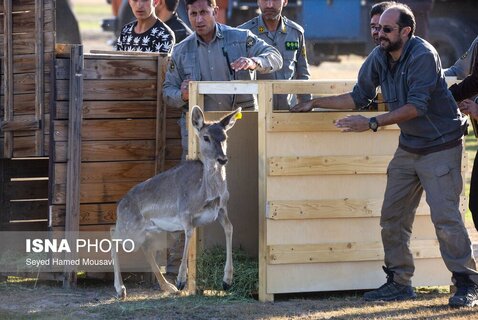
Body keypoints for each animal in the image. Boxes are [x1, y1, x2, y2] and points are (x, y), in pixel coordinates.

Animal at [110, 106, 241, 298]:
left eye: (225, 136)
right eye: (206, 137)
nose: (222, 159)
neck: (204, 194)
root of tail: (119, 206)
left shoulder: (222, 209)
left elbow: (230, 228)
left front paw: (227, 281)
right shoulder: (185, 213)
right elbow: (190, 233)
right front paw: (181, 281)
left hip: (158, 232)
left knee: (146, 247)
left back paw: (167, 286)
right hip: (131, 229)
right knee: (112, 234)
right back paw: (121, 289)